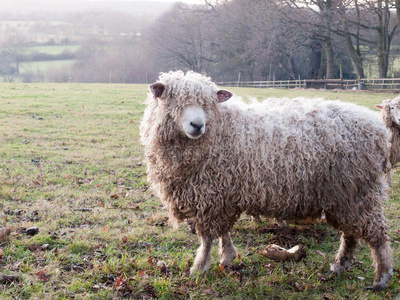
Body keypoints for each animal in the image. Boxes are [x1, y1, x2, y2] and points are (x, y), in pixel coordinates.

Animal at [141, 70, 394, 290]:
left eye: (208, 104)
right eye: (174, 100)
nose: (197, 125)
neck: (220, 129)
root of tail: (379, 132)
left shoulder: (212, 195)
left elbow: (206, 238)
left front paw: (200, 267)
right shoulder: (221, 193)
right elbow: (222, 232)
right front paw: (227, 257)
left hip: (359, 191)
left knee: (377, 235)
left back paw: (381, 278)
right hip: (345, 194)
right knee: (351, 234)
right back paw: (340, 265)